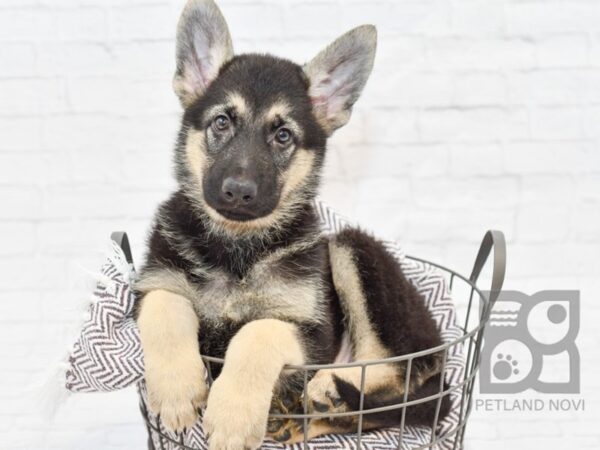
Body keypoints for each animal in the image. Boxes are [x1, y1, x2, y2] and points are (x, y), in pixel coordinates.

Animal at [134, 1, 448, 448]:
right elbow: (165, 305)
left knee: (405, 375)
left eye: (283, 135)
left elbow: (259, 332)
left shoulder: (312, 332)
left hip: (354, 252)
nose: (238, 192)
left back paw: (332, 389)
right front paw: (178, 389)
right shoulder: (154, 283)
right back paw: (302, 417)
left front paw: (231, 415)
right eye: (221, 122)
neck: (238, 247)